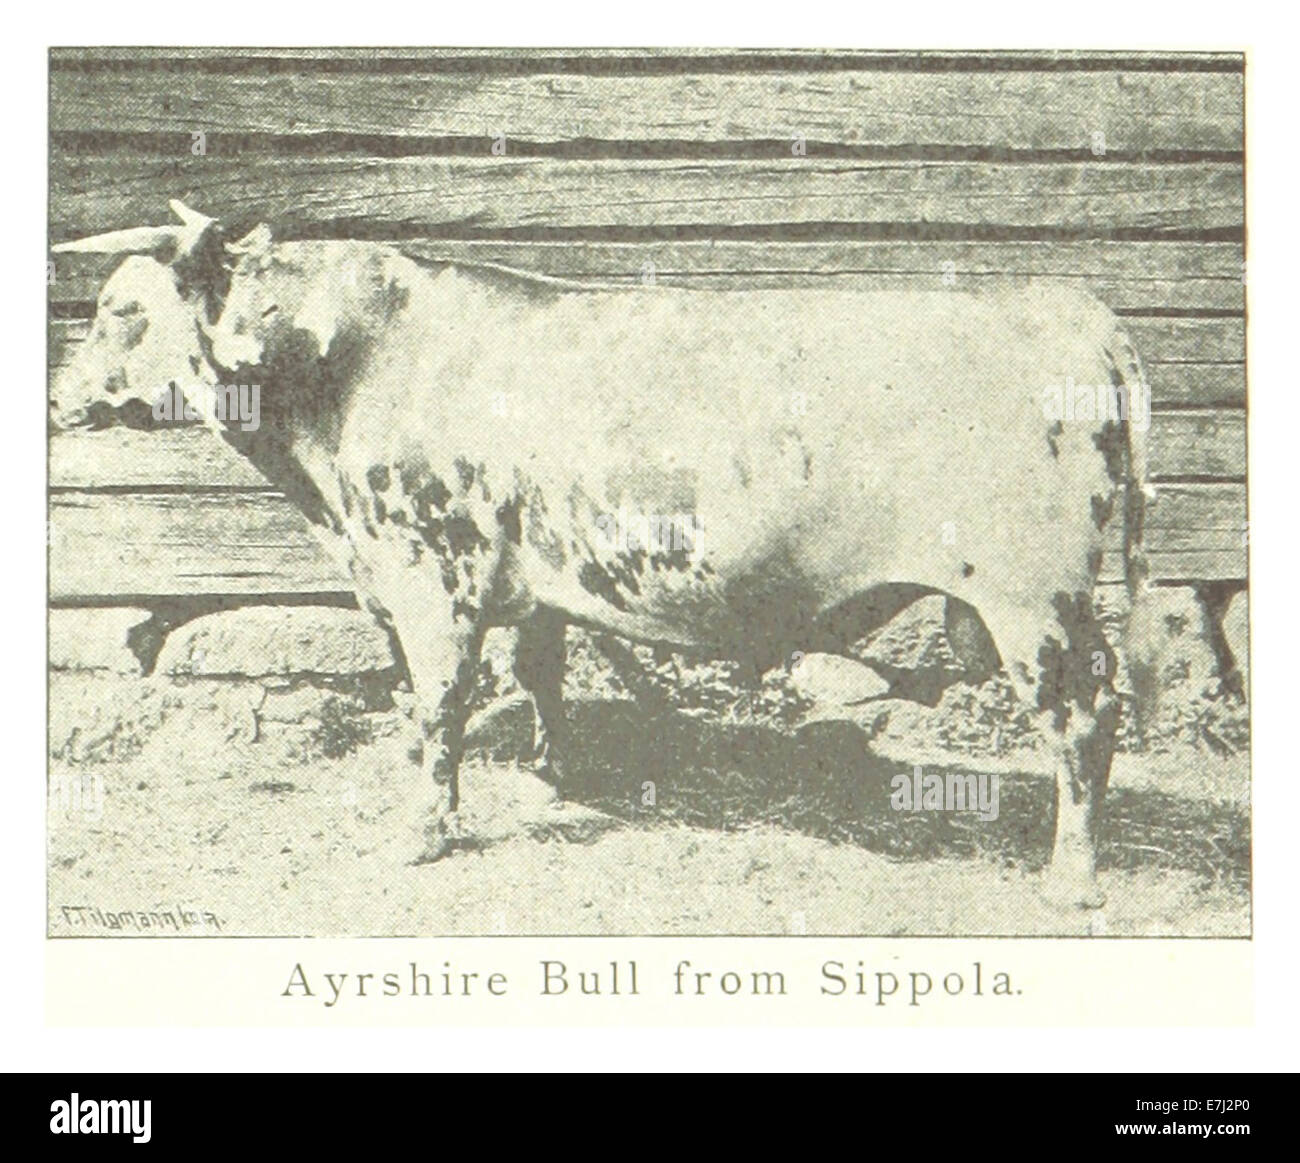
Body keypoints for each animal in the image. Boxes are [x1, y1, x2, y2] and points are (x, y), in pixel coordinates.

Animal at [52, 202, 1156, 909]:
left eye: (120, 309)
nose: (59, 396)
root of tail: (1070, 305)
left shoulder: (430, 576)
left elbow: (438, 707)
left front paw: (422, 830)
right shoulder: (526, 578)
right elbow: (540, 668)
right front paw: (554, 774)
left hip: (1035, 600)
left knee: (1084, 719)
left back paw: (1070, 878)